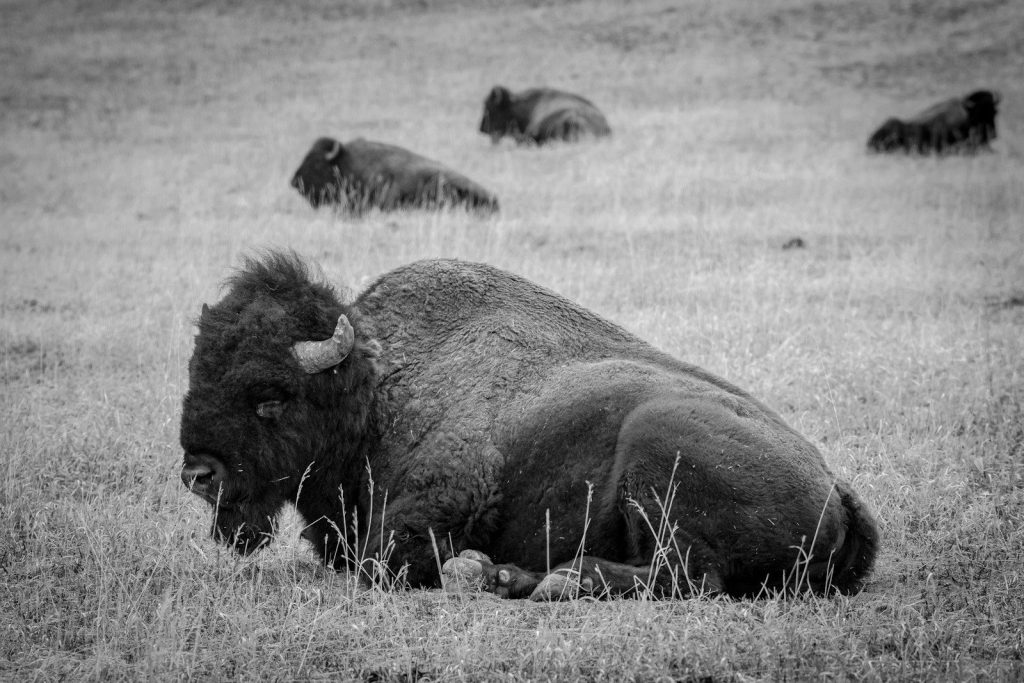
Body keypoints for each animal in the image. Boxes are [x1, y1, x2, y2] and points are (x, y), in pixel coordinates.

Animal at [180, 252, 878, 600]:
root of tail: (838, 489)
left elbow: (390, 557)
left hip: (657, 450)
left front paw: (469, 568)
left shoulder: (441, 503)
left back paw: (530, 578)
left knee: (688, 577)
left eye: (270, 399)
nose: (198, 474)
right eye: (196, 372)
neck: (379, 387)